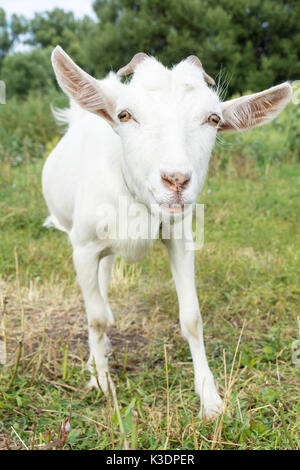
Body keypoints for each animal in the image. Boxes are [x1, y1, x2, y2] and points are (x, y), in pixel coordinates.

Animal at [43, 45, 292, 418]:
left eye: (213, 119)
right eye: (125, 115)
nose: (176, 180)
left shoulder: (179, 239)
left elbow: (192, 317)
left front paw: (210, 400)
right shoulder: (83, 246)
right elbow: (95, 318)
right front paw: (101, 381)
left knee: (106, 273)